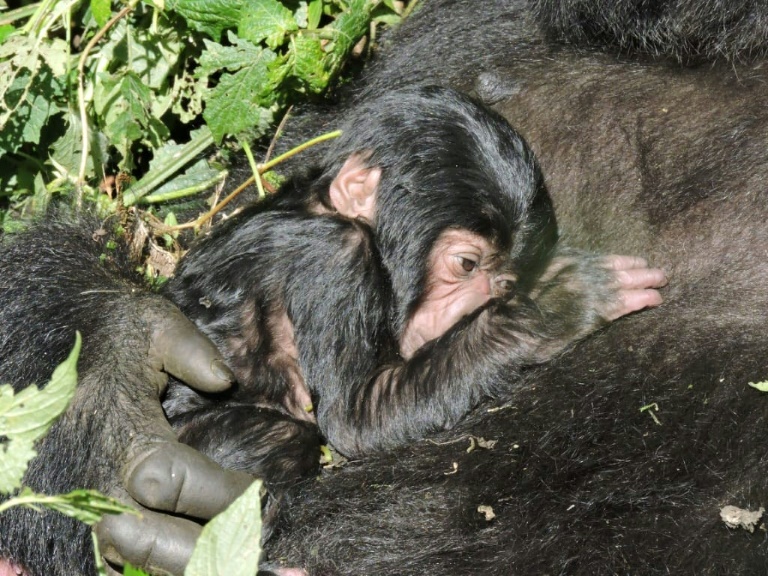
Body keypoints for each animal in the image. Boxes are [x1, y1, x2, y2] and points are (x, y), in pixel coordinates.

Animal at [160, 85, 664, 472]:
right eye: (466, 265)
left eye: (502, 283)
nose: (471, 308)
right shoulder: (335, 256)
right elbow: (357, 416)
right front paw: (562, 302)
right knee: (274, 441)